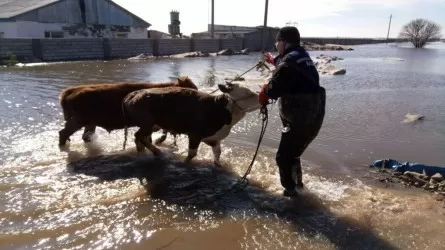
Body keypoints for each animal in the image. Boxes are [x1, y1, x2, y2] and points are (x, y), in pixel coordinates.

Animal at [58, 76, 197, 146]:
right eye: (190, 89)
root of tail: (69, 91)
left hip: (90, 123)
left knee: (85, 136)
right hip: (78, 120)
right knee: (63, 133)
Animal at [121, 81, 260, 166]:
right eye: (249, 93)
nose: (261, 96)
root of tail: (133, 94)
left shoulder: (214, 138)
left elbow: (217, 152)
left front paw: (218, 164)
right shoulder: (195, 135)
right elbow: (192, 153)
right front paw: (184, 162)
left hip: (152, 125)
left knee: (140, 139)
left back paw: (143, 154)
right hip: (147, 123)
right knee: (140, 137)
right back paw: (157, 152)